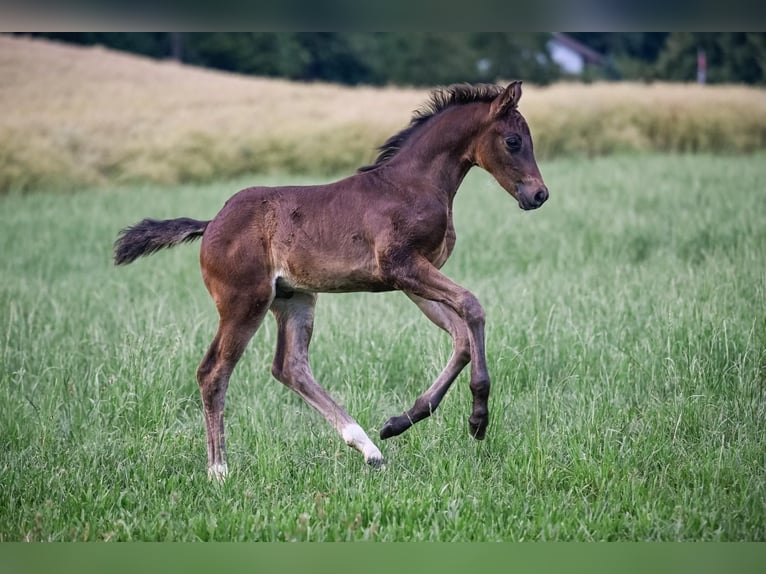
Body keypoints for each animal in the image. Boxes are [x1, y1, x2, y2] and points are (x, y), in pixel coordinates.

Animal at [114, 81, 549, 480]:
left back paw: (369, 448)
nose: (539, 195)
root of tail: (211, 224)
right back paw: (219, 469)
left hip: (293, 298)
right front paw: (478, 419)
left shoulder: (412, 278)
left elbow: (460, 338)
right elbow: (473, 307)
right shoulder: (402, 266)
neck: (413, 184)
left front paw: (400, 422)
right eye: (513, 141)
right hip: (244, 302)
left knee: (289, 366)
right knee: (214, 372)